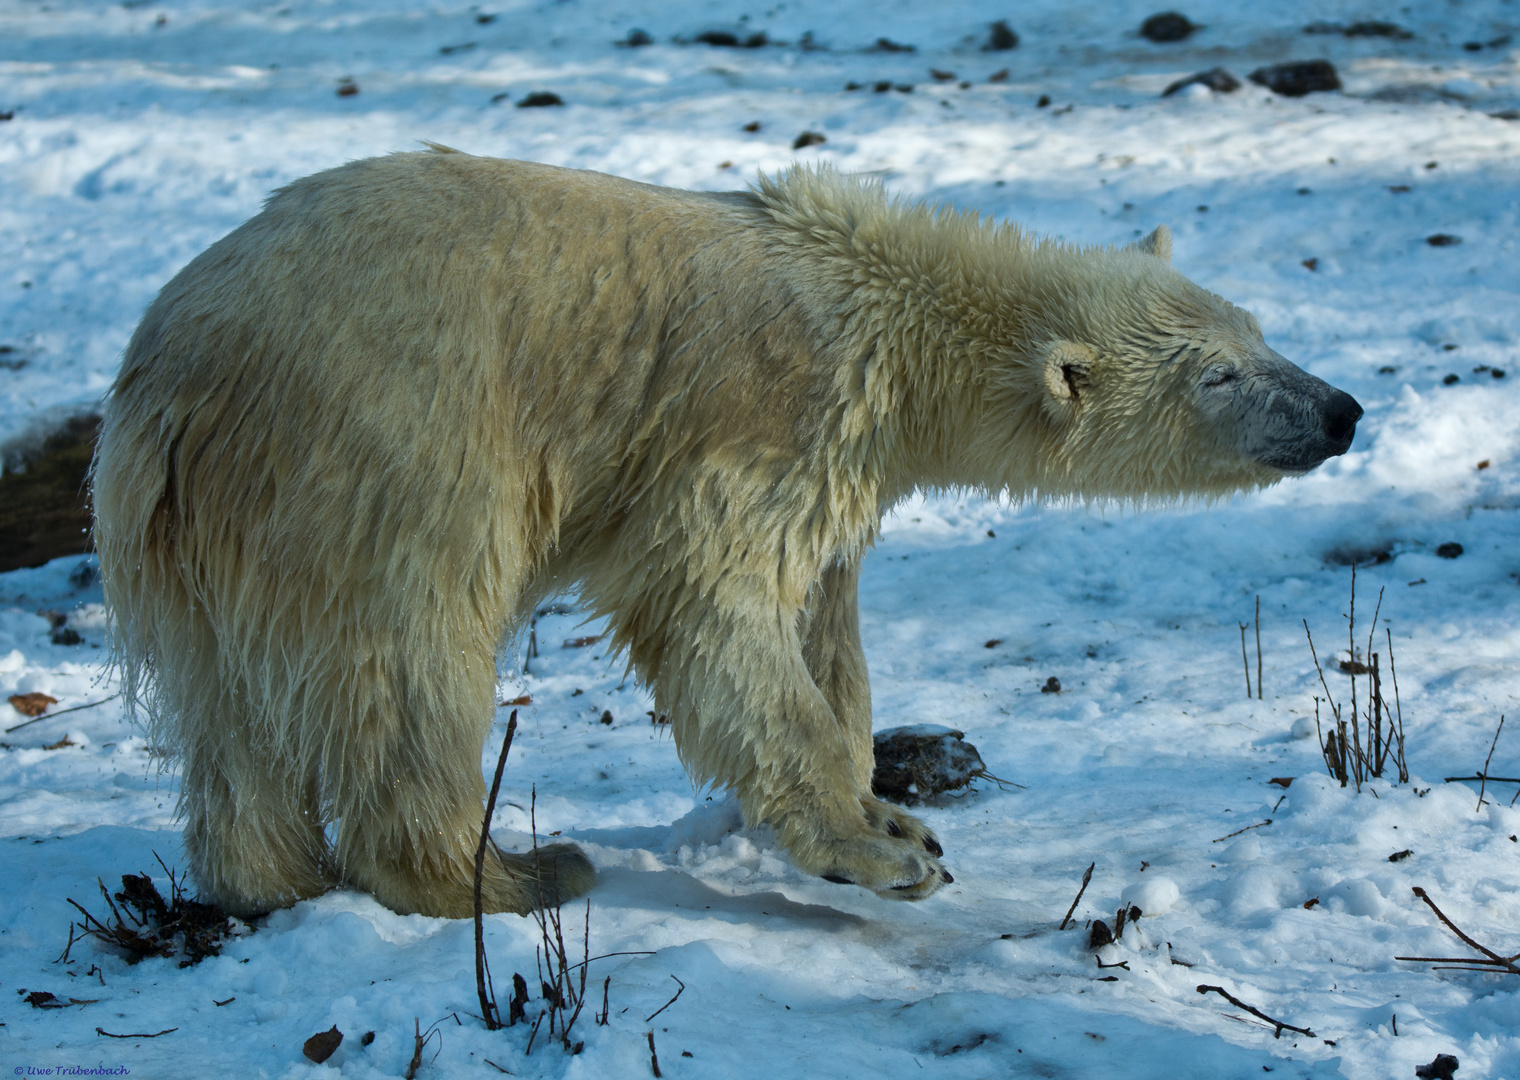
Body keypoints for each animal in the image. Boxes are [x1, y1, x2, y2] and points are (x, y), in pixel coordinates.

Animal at [88, 148, 1361, 917]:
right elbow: (716, 615)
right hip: (391, 448)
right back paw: (507, 871)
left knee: (234, 701)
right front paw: (882, 851)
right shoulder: (759, 419)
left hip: (222, 517)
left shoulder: (840, 462)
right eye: (1218, 374)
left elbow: (826, 629)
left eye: (1259, 332)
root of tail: (167, 369)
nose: (1341, 410)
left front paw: (883, 798)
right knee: (411, 659)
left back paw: (265, 879)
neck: (877, 306)